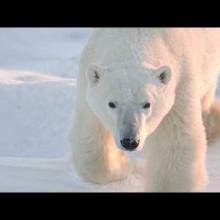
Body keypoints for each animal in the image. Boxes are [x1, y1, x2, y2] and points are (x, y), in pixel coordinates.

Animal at [68, 28, 220, 192]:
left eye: (147, 104)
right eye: (112, 104)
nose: (129, 141)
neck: (137, 35)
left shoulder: (181, 81)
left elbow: (174, 141)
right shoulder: (88, 72)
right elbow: (90, 137)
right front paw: (124, 165)